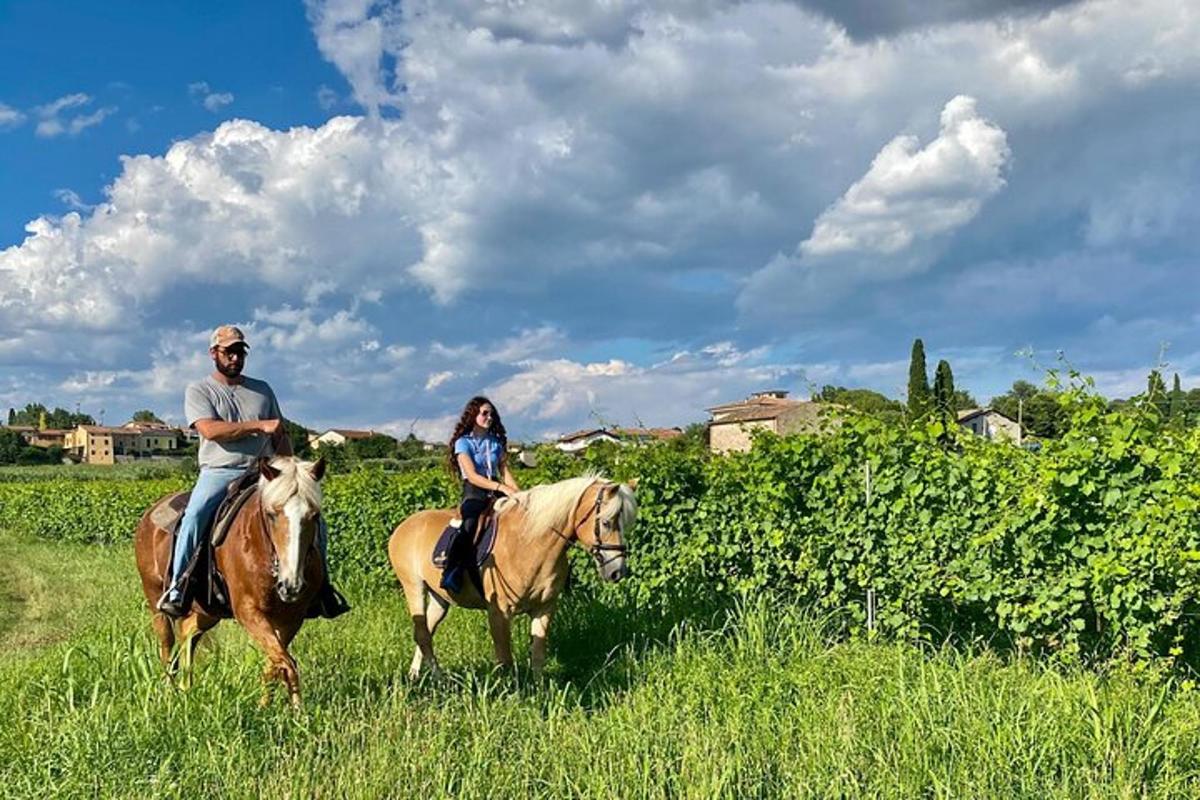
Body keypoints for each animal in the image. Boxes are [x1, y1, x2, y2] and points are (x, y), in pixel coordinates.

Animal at [136, 455, 328, 705]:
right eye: (271, 514)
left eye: (314, 515)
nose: (291, 586)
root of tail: (149, 515)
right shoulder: (247, 611)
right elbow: (285, 662)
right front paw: (293, 709)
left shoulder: (292, 617)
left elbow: (277, 661)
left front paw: (269, 706)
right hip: (156, 602)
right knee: (167, 645)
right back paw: (170, 692)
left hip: (208, 610)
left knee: (189, 633)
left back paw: (186, 689)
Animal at [386, 474, 638, 681]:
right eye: (606, 522)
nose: (617, 571)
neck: (530, 544)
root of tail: (403, 526)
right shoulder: (499, 612)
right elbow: (505, 658)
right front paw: (509, 694)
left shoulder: (544, 608)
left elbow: (538, 653)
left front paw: (540, 690)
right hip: (413, 586)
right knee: (422, 633)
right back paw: (439, 679)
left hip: (440, 599)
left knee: (424, 632)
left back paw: (415, 675)